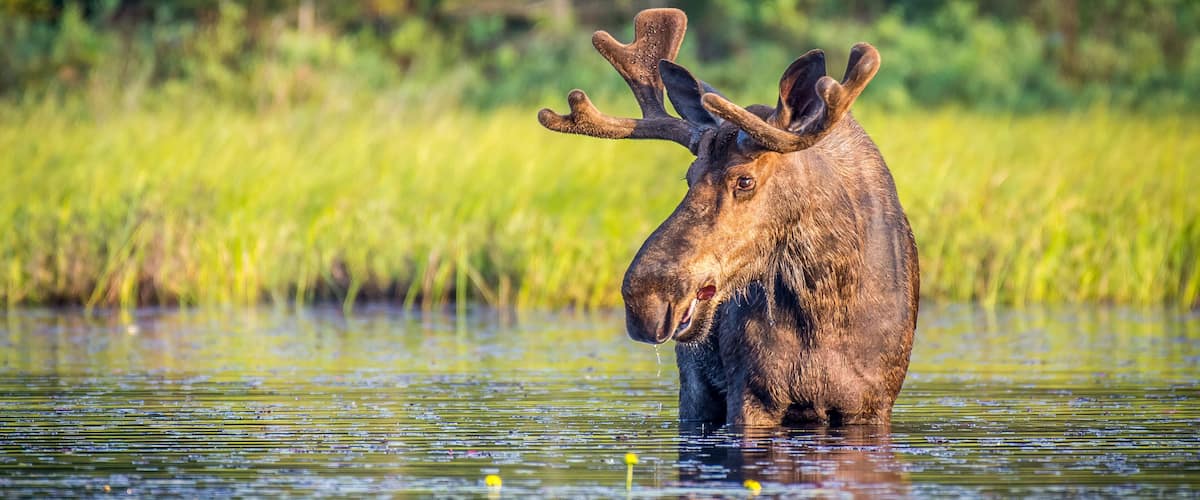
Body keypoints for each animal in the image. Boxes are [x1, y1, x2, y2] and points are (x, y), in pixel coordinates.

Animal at [537, 8, 918, 427]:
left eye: (744, 179)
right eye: (689, 176)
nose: (645, 298)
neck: (827, 306)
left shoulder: (871, 403)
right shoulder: (751, 393)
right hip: (694, 387)